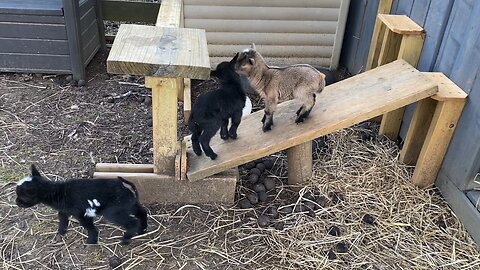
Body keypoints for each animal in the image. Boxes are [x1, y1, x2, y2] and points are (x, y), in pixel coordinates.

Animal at [15, 165, 147, 245]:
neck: (58, 192)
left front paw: (92, 241)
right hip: (129, 203)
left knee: (132, 222)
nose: (16, 202)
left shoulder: (81, 213)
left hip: (114, 211)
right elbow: (62, 218)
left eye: (23, 197)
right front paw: (61, 233)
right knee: (142, 212)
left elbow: (88, 226)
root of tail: (123, 185)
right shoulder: (65, 210)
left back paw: (126, 239)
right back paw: (142, 230)